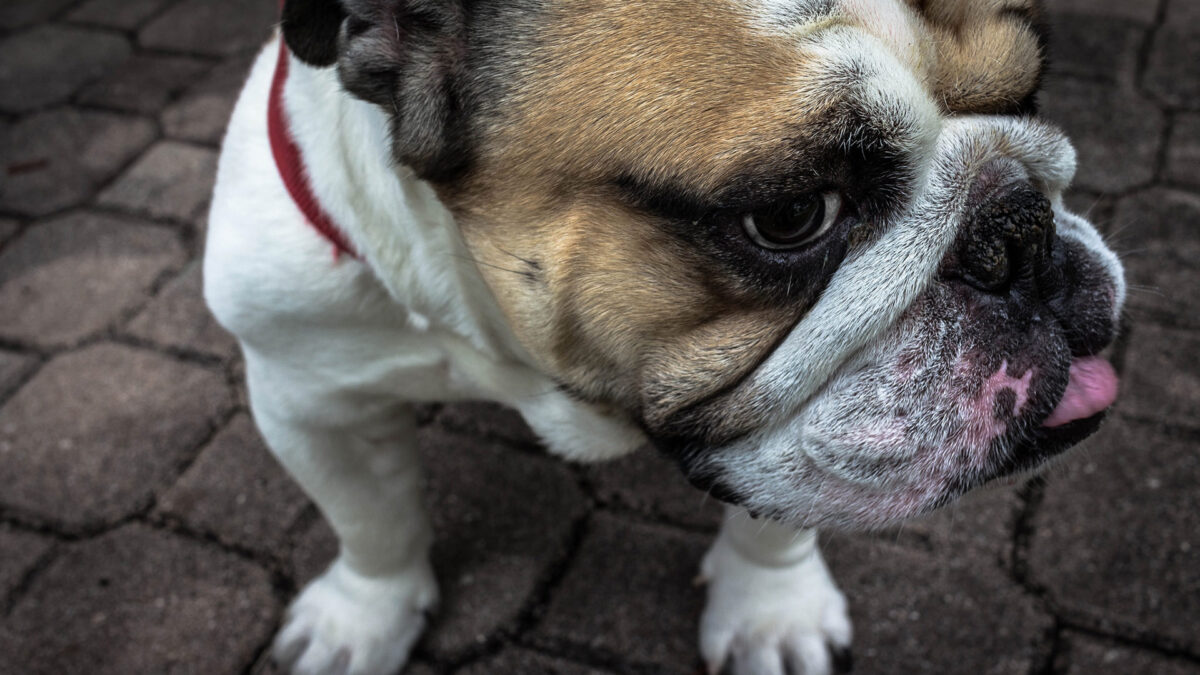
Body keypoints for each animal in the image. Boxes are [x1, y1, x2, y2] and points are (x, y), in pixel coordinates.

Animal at [204, 2, 1123, 667]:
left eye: (1028, 95)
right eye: (793, 215)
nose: (1021, 231)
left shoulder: (806, 439)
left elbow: (780, 511)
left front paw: (770, 613)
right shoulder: (308, 397)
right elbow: (373, 520)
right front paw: (363, 618)